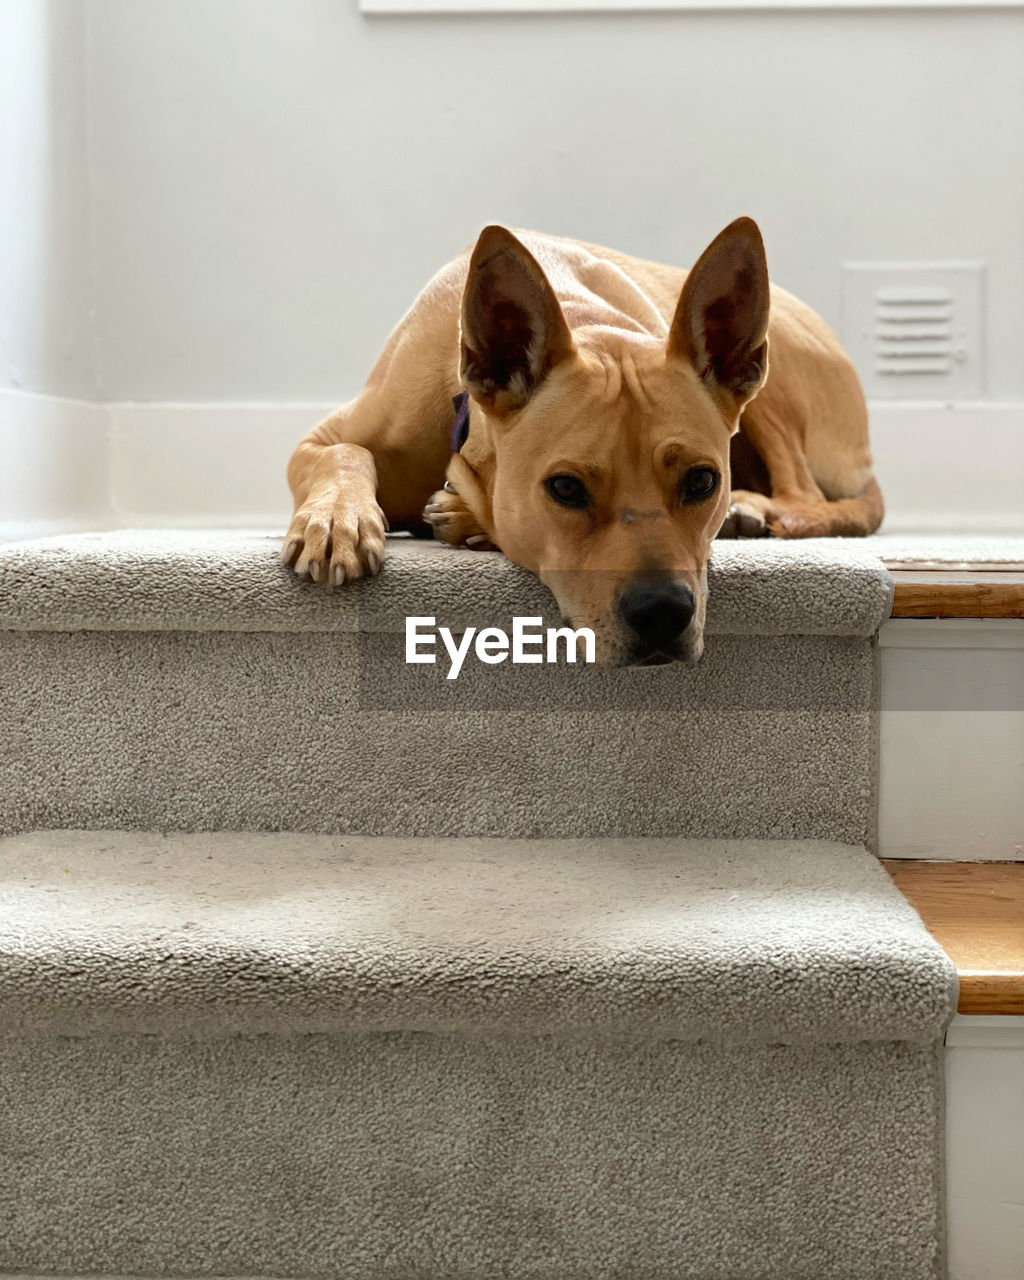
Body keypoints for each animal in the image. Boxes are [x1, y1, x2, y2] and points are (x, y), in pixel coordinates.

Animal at [280, 217, 880, 670]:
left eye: (702, 480)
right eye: (565, 488)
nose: (662, 613)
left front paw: (464, 515)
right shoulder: (321, 439)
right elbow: (347, 452)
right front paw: (335, 520)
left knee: (804, 496)